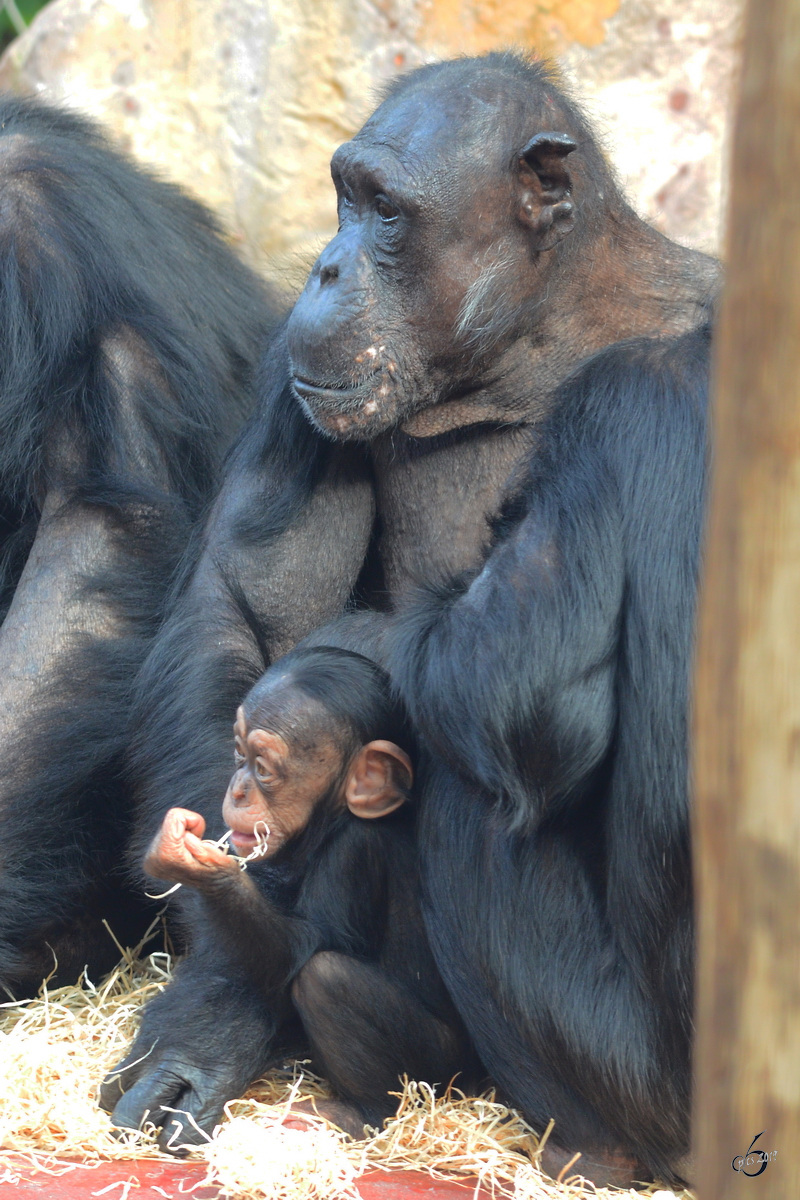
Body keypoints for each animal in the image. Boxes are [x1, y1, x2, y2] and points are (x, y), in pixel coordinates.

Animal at [101, 648, 474, 1142]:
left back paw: (358, 1113)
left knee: (326, 977)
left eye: (261, 767)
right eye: (237, 753)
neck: (331, 821)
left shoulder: (355, 851)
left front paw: (200, 867)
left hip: (437, 1065)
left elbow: (305, 947)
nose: (238, 788)